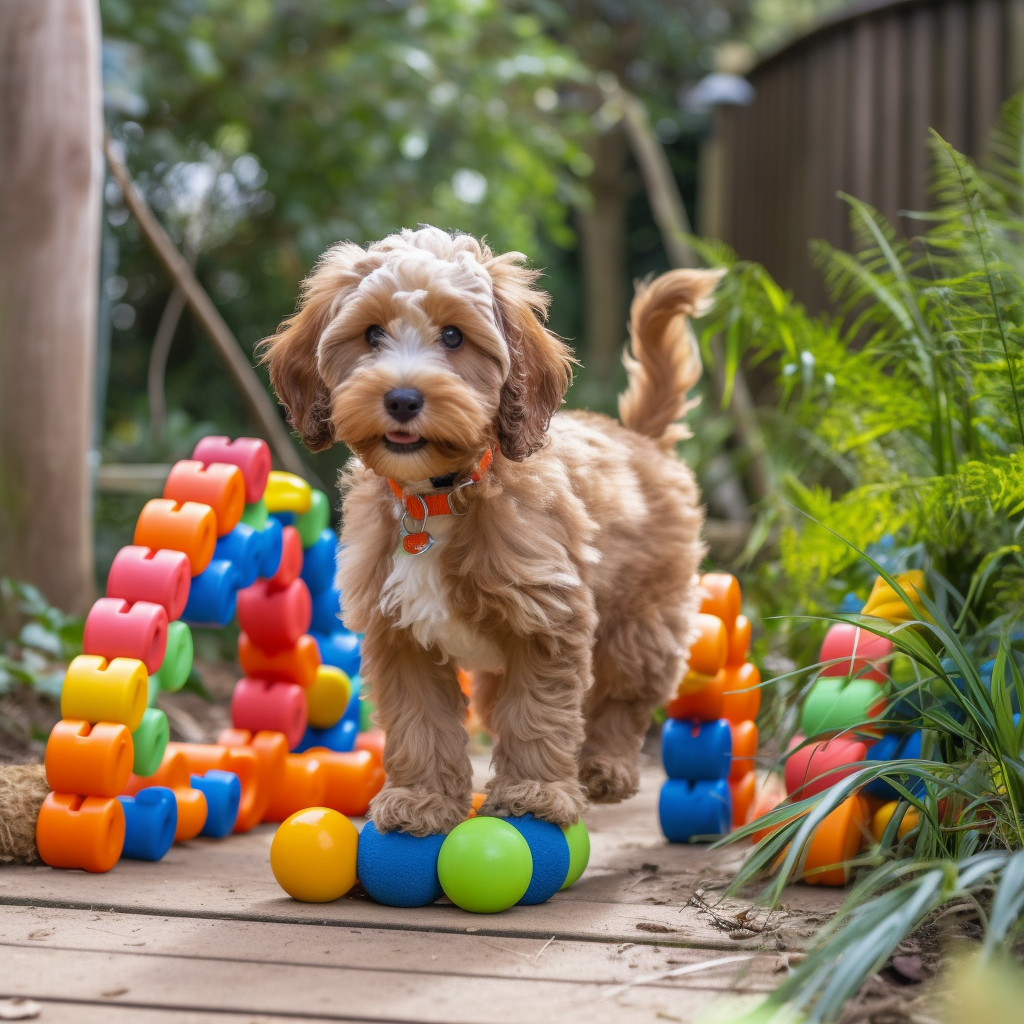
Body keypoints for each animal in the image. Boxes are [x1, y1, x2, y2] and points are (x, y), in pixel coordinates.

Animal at [264, 228, 720, 835]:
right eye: (372, 334)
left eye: (454, 336)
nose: (402, 398)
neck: (438, 497)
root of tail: (638, 438)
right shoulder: (398, 634)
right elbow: (419, 720)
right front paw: (422, 799)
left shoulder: (547, 617)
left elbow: (538, 711)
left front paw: (534, 794)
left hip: (641, 618)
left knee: (623, 695)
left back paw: (606, 767)